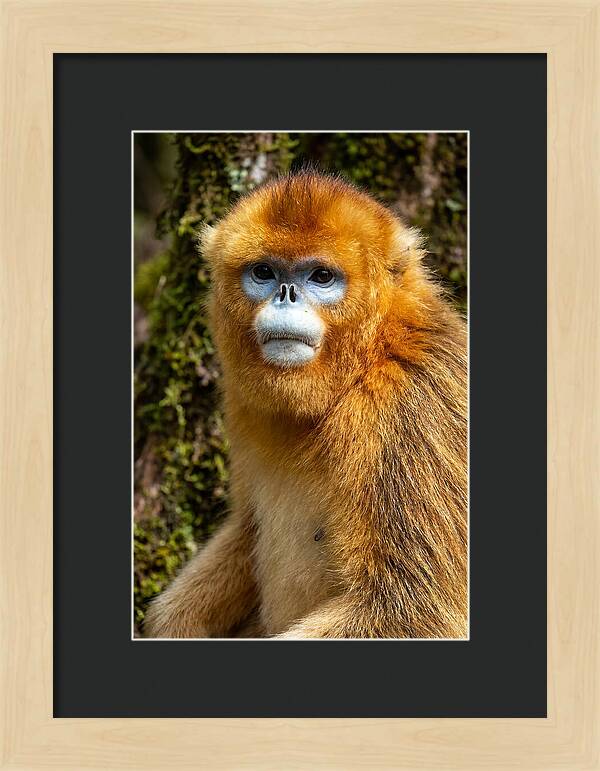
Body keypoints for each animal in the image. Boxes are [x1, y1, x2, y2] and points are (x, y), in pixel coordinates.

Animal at [144, 170, 467, 639]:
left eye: (321, 277)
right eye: (264, 272)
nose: (286, 293)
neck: (365, 365)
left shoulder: (417, 405)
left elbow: (416, 610)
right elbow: (246, 529)